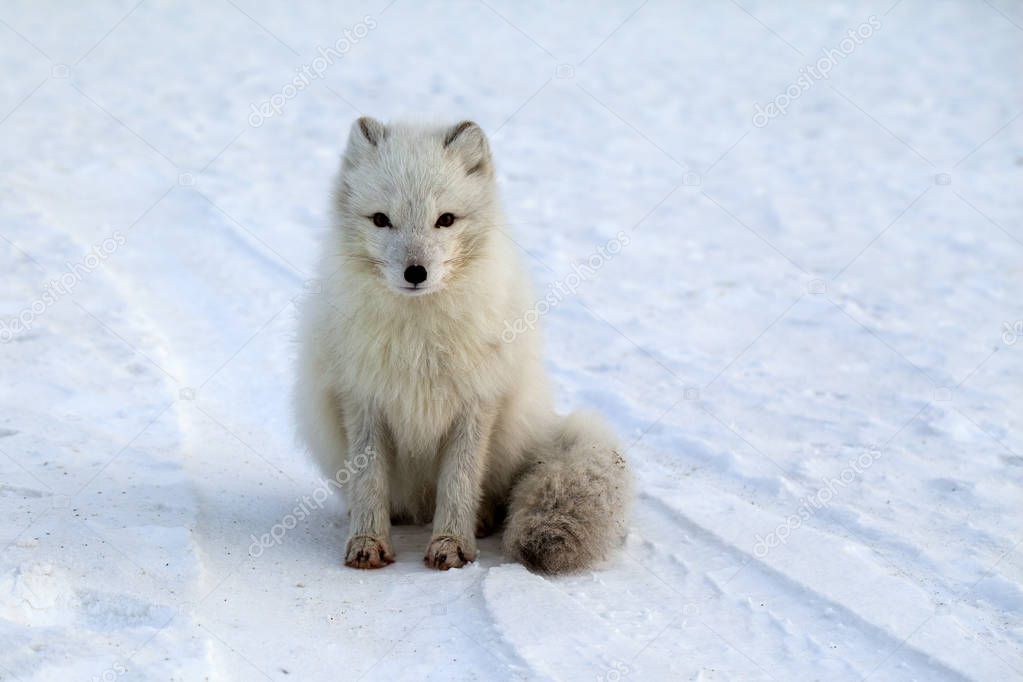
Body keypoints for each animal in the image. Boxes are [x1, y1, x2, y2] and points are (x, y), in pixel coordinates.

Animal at [294, 117, 630, 572]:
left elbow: (460, 482)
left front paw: (452, 544)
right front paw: (367, 541)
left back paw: (482, 519)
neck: (419, 339)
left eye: (446, 219)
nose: (415, 272)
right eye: (381, 219)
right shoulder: (363, 399)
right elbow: (369, 483)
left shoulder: (477, 402)